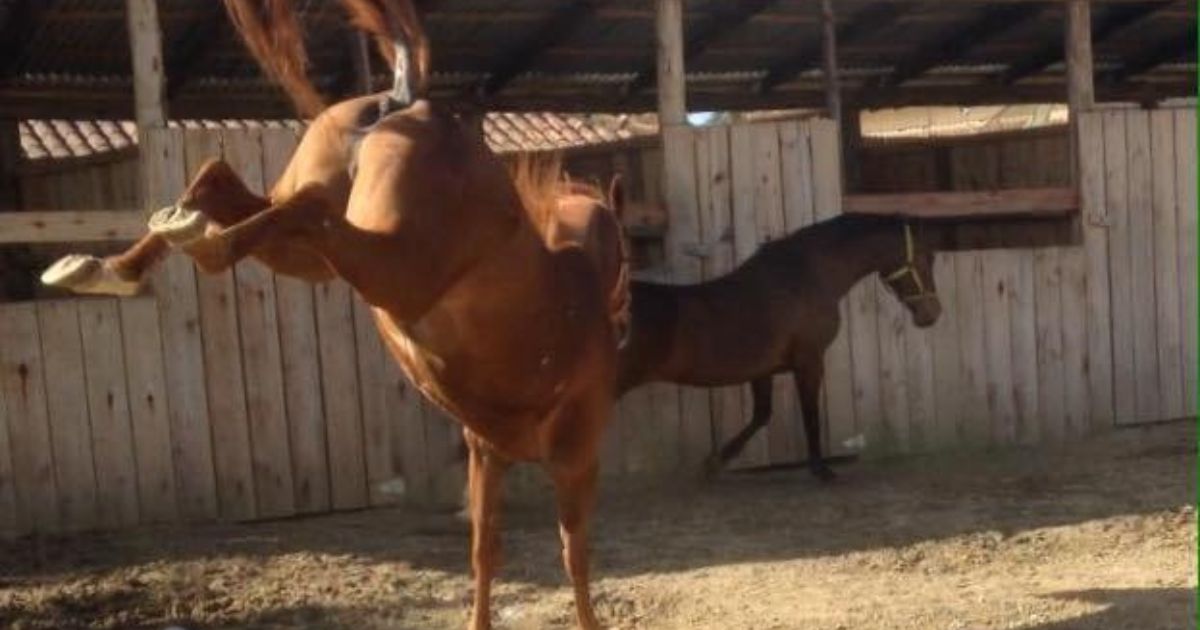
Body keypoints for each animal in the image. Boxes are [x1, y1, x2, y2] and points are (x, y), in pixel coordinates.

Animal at [41, 3, 626, 629]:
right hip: (389, 267)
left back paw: (116, 261)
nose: (625, 315)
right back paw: (195, 246)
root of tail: (401, 101)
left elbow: (486, 552)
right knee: (301, 212)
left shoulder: (487, 454)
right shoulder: (571, 461)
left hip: (314, 254)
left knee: (234, 187)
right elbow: (572, 554)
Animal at [616, 213, 947, 481]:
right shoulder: (809, 360)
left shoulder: (763, 369)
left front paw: (713, 463)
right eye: (925, 257)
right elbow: (809, 412)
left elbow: (761, 415)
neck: (807, 276)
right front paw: (821, 469)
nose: (932, 314)